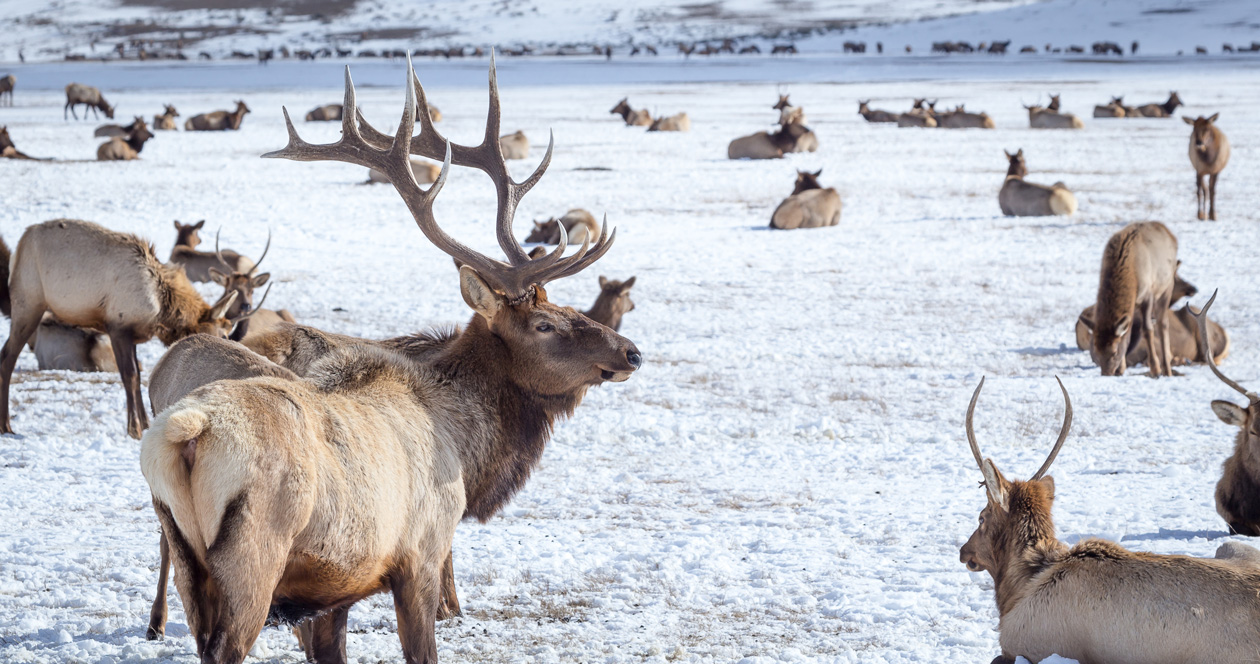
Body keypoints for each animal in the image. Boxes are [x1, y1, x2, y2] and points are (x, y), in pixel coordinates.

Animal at [0, 219, 244, 438]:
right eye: (224, 334)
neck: (162, 307)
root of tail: (20, 244)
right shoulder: (117, 329)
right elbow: (130, 376)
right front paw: (134, 428)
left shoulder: (133, 335)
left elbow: (138, 377)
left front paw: (144, 423)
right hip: (28, 304)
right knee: (8, 356)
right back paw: (6, 425)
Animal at [138, 56, 641, 664]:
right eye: (544, 324)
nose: (632, 352)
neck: (462, 439)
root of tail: (187, 433)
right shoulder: (421, 551)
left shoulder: (332, 588)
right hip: (252, 555)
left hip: (185, 551)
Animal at [1078, 221, 1177, 377]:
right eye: (1095, 352)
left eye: (1114, 352)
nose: (1107, 374)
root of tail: (1169, 233)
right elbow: (1127, 335)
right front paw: (1121, 369)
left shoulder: (1148, 294)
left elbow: (1147, 329)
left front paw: (1155, 369)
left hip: (1167, 286)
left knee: (1163, 324)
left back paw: (1166, 369)